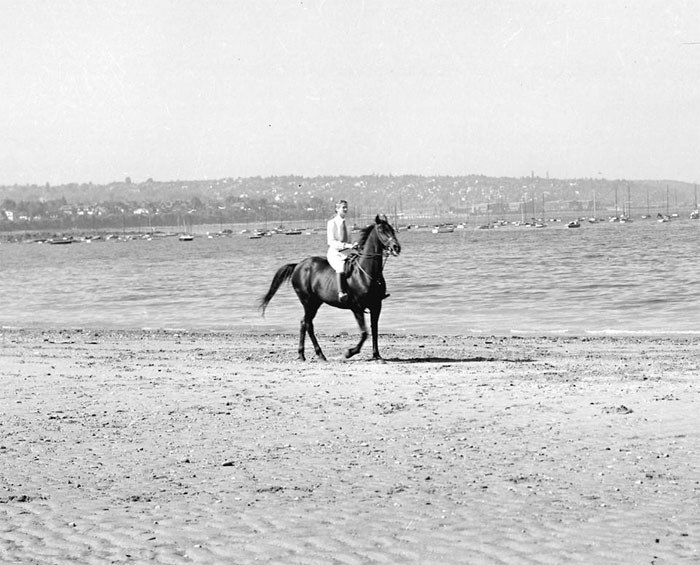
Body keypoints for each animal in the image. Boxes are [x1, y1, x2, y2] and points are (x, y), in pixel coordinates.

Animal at [258, 214, 402, 360]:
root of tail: (298, 265)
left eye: (392, 229)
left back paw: (308, 354)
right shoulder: (357, 308)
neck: (366, 273)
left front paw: (376, 355)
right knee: (307, 324)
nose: (396, 247)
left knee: (305, 323)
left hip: (316, 302)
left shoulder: (376, 305)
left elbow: (374, 329)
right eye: (382, 230)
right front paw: (349, 352)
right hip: (308, 302)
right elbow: (364, 332)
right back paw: (314, 354)